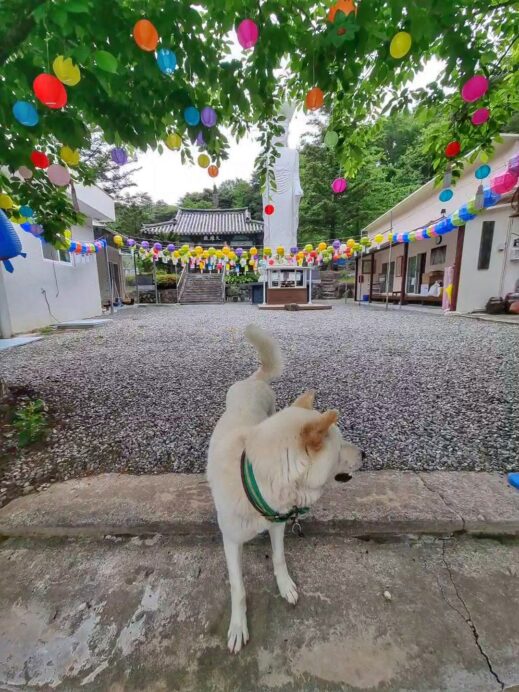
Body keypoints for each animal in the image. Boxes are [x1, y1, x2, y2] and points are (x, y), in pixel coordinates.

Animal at [205, 328, 364, 652]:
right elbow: (238, 588)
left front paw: (285, 585)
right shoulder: (231, 540)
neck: (262, 477)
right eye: (342, 445)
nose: (365, 455)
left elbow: (278, 558)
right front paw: (238, 626)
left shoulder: (277, 522)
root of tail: (253, 380)